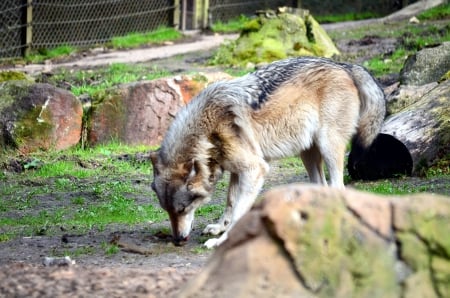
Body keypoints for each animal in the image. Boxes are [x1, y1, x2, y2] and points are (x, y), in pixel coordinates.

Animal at [149, 56, 384, 249]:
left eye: (182, 209)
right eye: (167, 211)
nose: (177, 240)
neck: (208, 130)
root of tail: (345, 65)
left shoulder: (255, 169)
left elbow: (238, 211)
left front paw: (222, 239)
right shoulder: (238, 170)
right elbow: (230, 202)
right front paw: (219, 227)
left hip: (327, 146)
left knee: (337, 186)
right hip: (307, 153)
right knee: (321, 186)